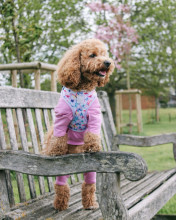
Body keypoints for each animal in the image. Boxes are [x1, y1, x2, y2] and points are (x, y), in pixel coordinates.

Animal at [42, 39, 114, 211]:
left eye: (104, 54)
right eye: (92, 55)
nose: (107, 63)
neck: (81, 90)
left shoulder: (94, 116)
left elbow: (92, 134)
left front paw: (93, 147)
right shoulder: (62, 117)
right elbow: (59, 136)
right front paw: (56, 151)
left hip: (91, 170)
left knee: (89, 184)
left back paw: (90, 204)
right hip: (64, 168)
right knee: (61, 183)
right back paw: (60, 204)